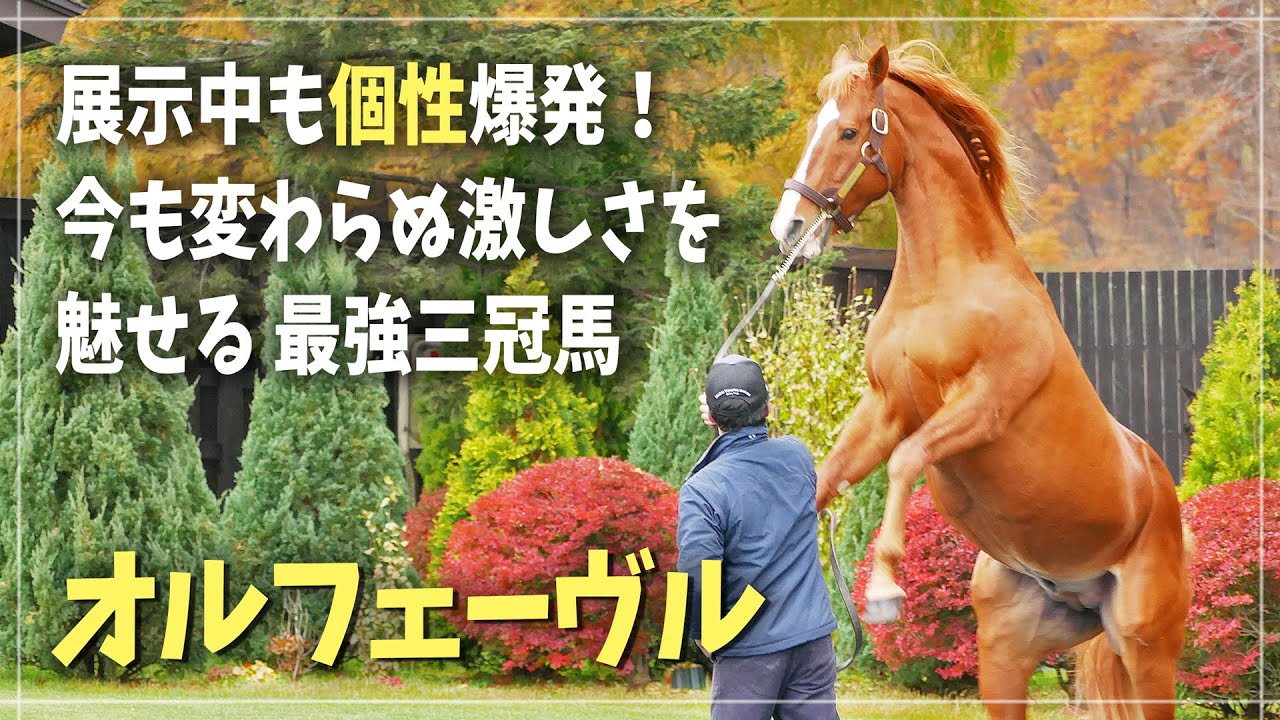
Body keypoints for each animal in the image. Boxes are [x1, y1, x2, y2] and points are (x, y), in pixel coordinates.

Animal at [769, 41, 1192, 719]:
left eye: (849, 131)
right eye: (816, 126)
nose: (789, 227)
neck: (946, 287)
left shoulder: (982, 408)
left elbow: (905, 461)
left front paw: (883, 590)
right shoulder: (886, 407)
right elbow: (828, 477)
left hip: (1148, 652)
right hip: (1006, 655)